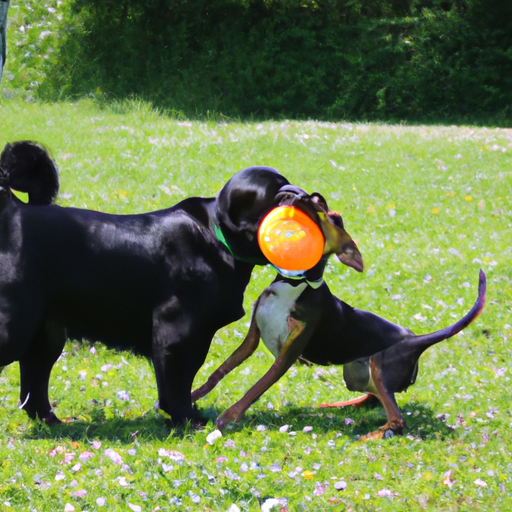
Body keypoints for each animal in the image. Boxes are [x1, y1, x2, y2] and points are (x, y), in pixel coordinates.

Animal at [0, 139, 364, 424]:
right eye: (277, 193)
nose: (305, 196)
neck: (217, 236)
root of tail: (12, 210)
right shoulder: (178, 330)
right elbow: (176, 384)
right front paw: (186, 419)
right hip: (16, 326)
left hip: (45, 335)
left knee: (34, 390)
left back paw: (52, 420)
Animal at [192, 252, 484, 436]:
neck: (294, 284)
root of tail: (415, 339)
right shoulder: (252, 338)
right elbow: (217, 373)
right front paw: (193, 395)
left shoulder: (288, 355)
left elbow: (255, 389)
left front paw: (227, 418)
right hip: (356, 375)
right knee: (374, 398)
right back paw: (338, 408)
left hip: (379, 364)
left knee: (396, 419)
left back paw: (369, 436)